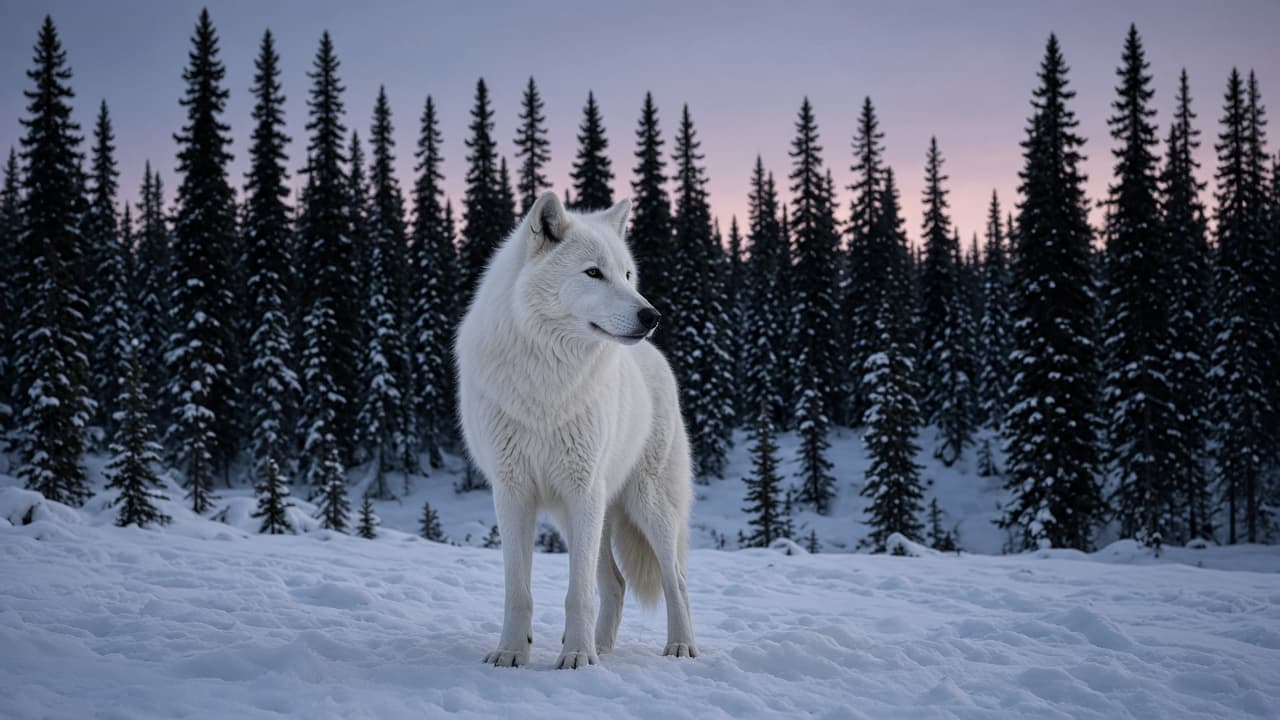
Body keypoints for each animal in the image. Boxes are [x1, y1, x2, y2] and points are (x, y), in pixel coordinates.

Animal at [456, 191, 697, 669]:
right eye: (593, 273)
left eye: (626, 274)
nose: (652, 315)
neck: (547, 379)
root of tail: (657, 357)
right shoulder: (512, 493)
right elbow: (519, 591)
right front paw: (512, 652)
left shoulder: (582, 489)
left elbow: (577, 593)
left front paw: (577, 658)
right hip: (581, 516)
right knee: (616, 583)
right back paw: (602, 646)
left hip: (645, 506)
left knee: (675, 578)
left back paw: (679, 646)